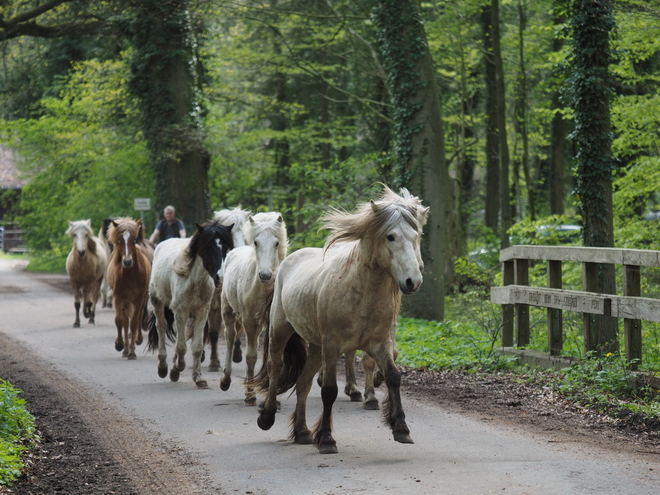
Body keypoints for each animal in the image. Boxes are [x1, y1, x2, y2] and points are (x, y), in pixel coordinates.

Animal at [106, 220, 151, 360]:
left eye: (134, 239)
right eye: (119, 239)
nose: (127, 261)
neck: (130, 274)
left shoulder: (139, 298)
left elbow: (135, 322)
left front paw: (132, 351)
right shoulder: (118, 297)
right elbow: (120, 321)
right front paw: (119, 345)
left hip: (141, 299)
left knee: (139, 316)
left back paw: (136, 342)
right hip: (125, 301)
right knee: (125, 322)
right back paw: (125, 349)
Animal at [147, 223, 235, 390]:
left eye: (226, 248)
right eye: (208, 248)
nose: (220, 278)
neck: (194, 281)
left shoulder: (202, 312)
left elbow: (197, 347)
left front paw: (199, 378)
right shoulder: (180, 311)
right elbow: (182, 347)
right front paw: (176, 369)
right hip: (158, 302)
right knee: (161, 327)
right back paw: (163, 367)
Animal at [205, 206, 251, 372]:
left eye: (244, 232)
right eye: (229, 234)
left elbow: (238, 328)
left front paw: (237, 354)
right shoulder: (213, 304)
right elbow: (213, 333)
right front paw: (213, 362)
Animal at [220, 211, 288, 404]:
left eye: (276, 243)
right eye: (256, 242)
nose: (265, 275)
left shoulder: (272, 324)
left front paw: (274, 399)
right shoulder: (249, 322)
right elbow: (251, 357)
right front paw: (250, 394)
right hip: (228, 312)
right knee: (230, 337)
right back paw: (225, 380)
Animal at [255, 185, 430, 454]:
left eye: (417, 234)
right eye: (390, 237)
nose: (413, 281)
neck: (362, 292)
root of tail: (287, 262)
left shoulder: (379, 343)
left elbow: (393, 376)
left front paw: (401, 428)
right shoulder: (333, 345)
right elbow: (329, 391)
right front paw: (327, 439)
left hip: (316, 347)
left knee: (303, 383)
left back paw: (302, 432)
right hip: (281, 331)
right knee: (276, 367)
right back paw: (267, 416)